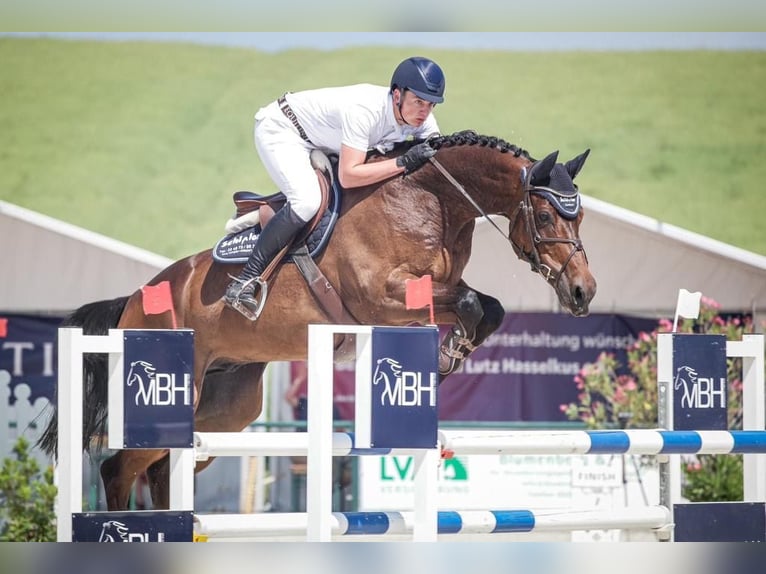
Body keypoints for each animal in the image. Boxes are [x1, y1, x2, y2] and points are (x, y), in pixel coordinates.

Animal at [39, 132, 596, 512]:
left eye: (581, 217)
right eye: (545, 217)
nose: (583, 292)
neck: (429, 199)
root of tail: (133, 299)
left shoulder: (433, 289)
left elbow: (488, 308)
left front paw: (451, 353)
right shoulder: (383, 297)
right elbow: (470, 306)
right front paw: (446, 354)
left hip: (225, 409)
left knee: (159, 472)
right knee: (117, 470)